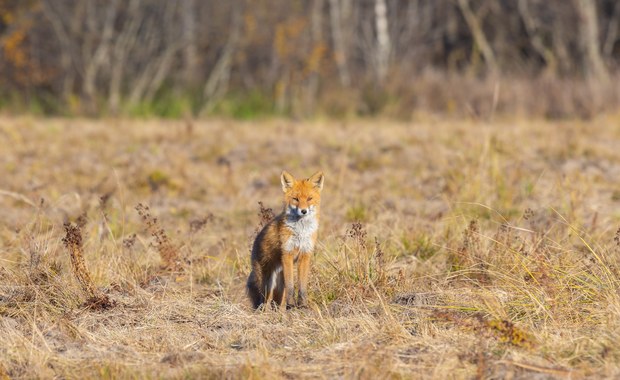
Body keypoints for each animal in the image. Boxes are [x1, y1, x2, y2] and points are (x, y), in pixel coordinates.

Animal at [246, 171, 324, 310]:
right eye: (296, 199)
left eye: (309, 198)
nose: (303, 211)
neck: (301, 232)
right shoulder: (287, 253)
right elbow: (291, 286)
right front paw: (292, 304)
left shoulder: (305, 255)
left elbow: (302, 286)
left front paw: (303, 305)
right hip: (266, 285)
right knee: (263, 302)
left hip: (277, 286)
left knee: (276, 303)